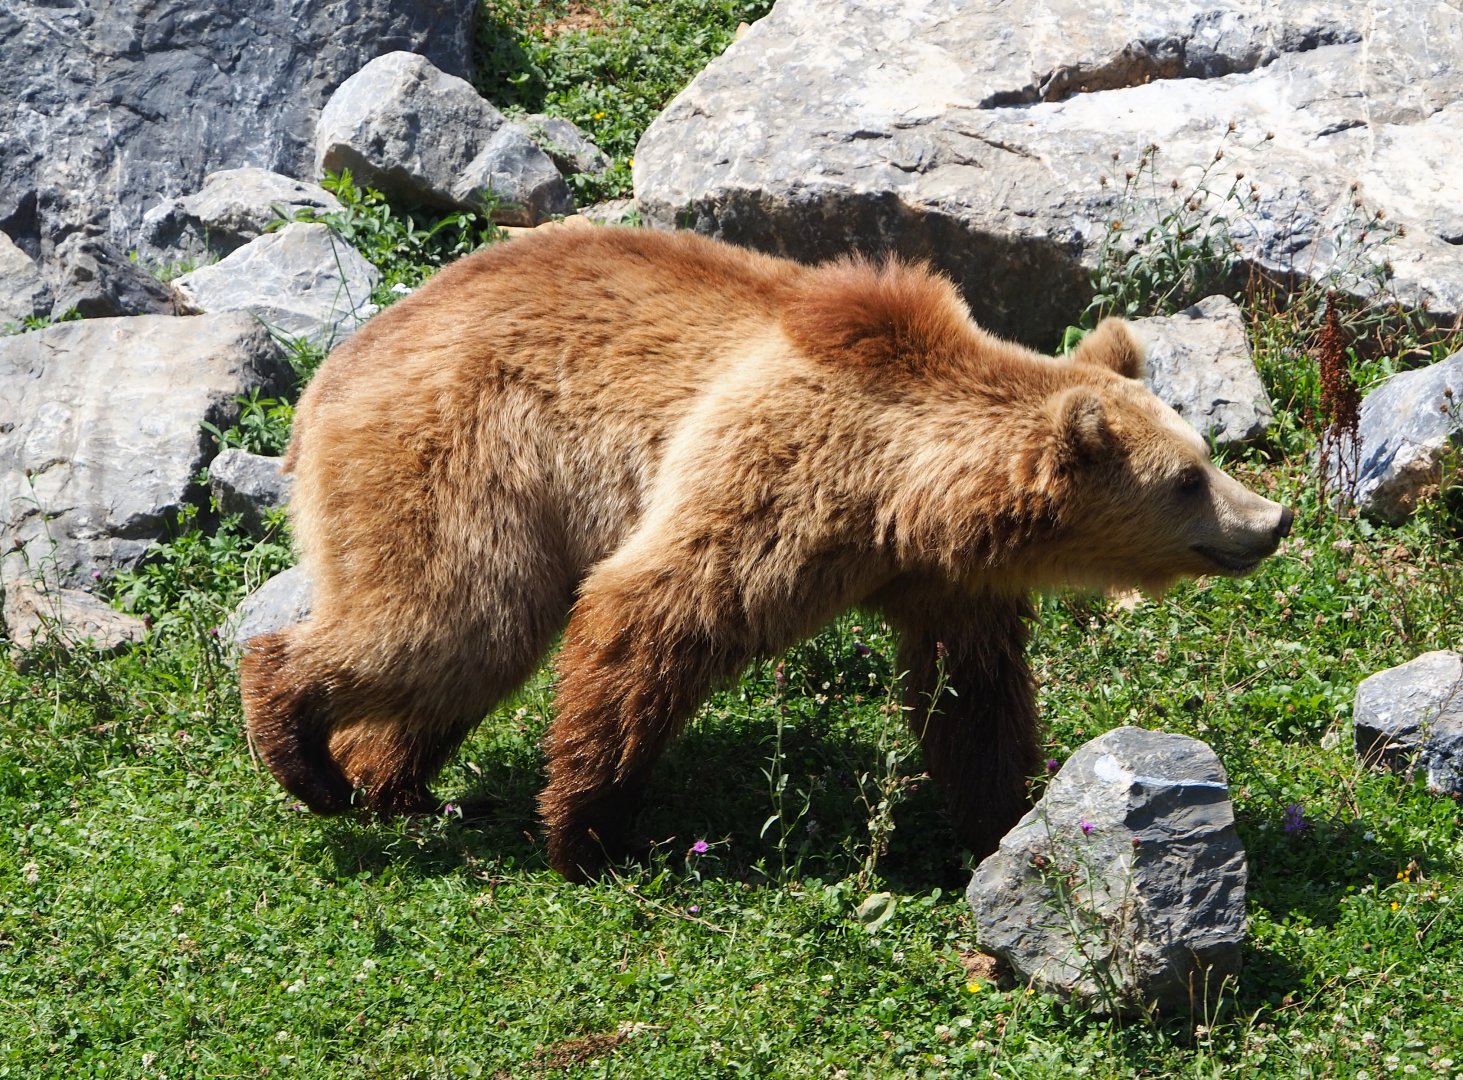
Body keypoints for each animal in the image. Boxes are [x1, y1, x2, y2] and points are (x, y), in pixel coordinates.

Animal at [240, 226, 1292, 881]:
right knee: (454, 620)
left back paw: (388, 780)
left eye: (1204, 452)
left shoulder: (939, 579)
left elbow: (971, 699)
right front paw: (586, 833)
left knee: (456, 657)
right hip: (462, 460)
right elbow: (652, 611)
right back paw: (305, 751)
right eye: (1186, 479)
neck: (904, 490)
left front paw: (1006, 817)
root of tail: (331, 371)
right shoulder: (779, 473)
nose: (1271, 520)